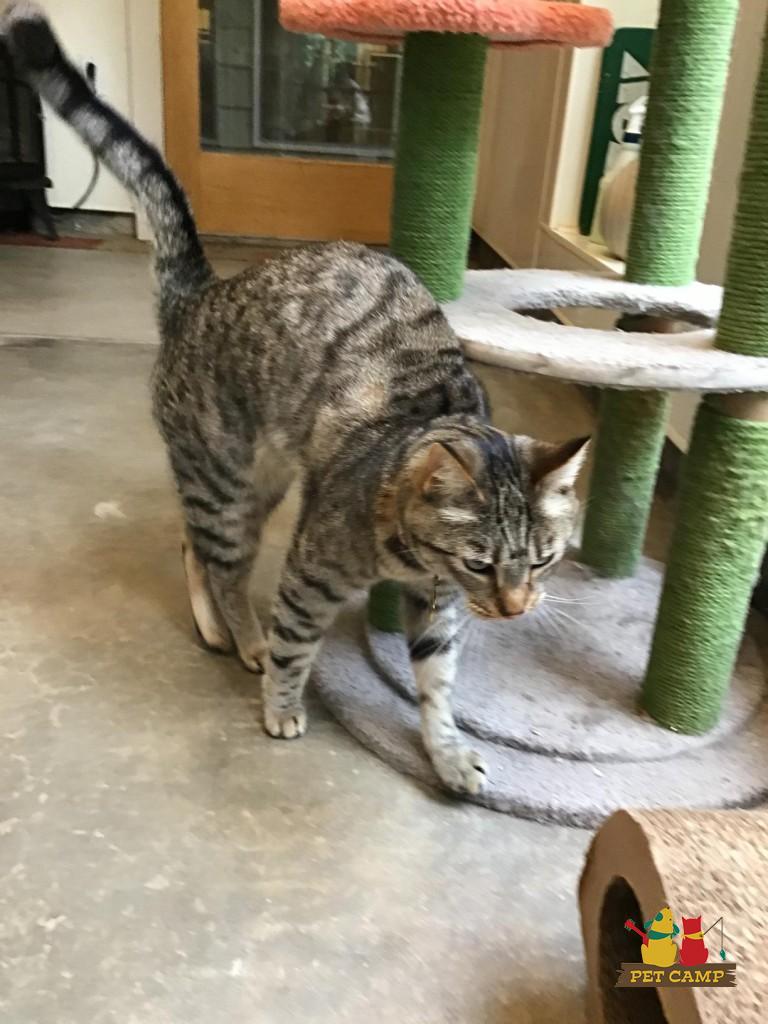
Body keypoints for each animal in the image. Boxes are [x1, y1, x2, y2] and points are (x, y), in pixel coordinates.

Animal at [2, 3, 589, 797]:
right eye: (481, 563)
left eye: (544, 560)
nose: (515, 607)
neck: (412, 559)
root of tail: (199, 293)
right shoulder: (313, 573)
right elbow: (295, 646)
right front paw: (280, 704)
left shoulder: (438, 611)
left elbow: (437, 688)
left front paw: (447, 751)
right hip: (226, 481)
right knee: (223, 565)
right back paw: (240, 636)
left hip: (259, 484)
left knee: (193, 543)